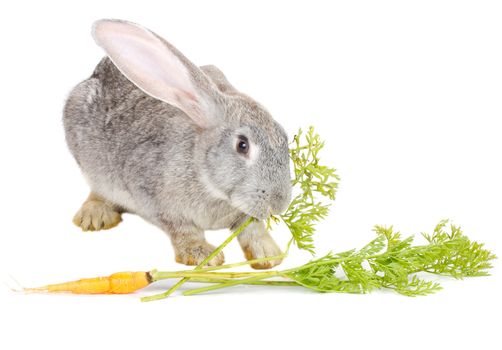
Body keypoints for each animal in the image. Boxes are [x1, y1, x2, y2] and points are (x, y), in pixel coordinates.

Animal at [63, 19, 292, 270]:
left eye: (284, 136)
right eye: (242, 145)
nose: (279, 203)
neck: (206, 177)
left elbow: (251, 229)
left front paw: (268, 255)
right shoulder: (156, 200)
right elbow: (183, 229)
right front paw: (203, 255)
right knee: (98, 189)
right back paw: (95, 216)